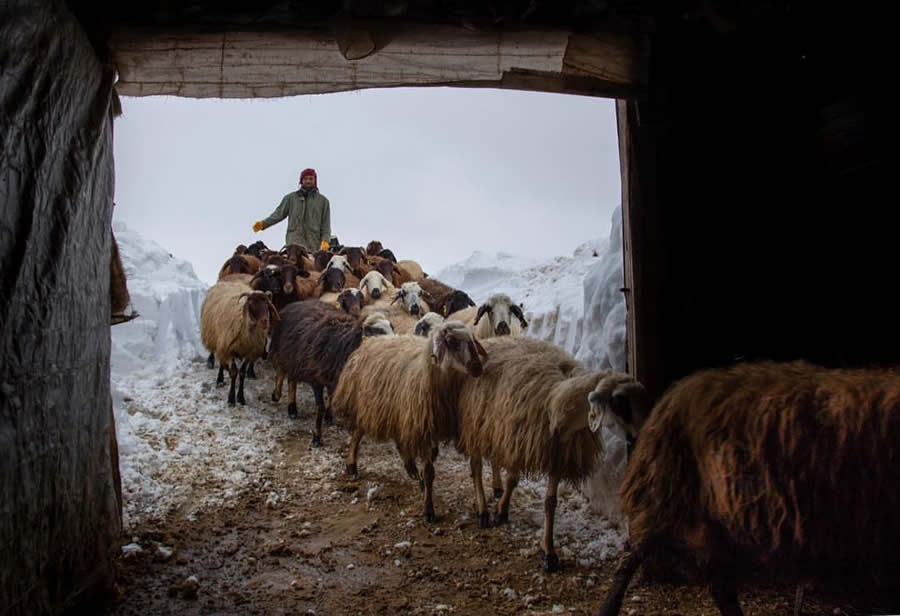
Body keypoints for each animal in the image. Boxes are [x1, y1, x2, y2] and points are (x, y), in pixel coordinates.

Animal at [596, 360, 900, 616]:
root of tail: (672, 396)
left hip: (714, 517)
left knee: (718, 582)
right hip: (665, 495)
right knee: (630, 557)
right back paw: (608, 608)